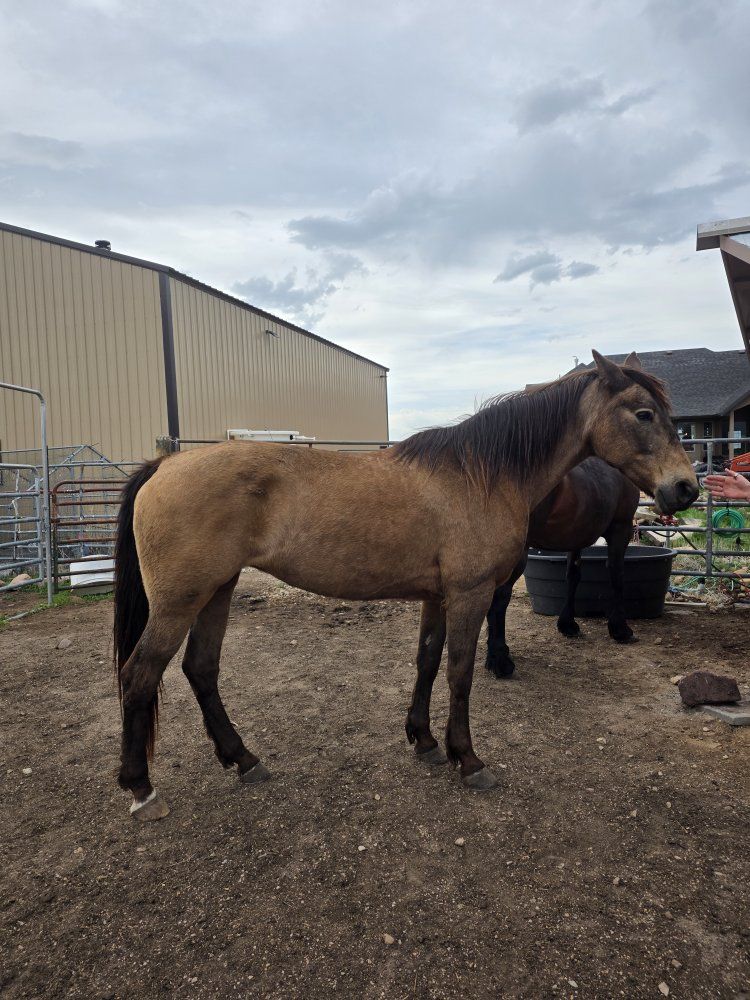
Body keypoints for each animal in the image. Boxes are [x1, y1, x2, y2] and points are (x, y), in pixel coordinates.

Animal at [484, 457, 640, 679]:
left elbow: (573, 576)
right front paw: (620, 629)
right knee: (499, 597)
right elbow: (617, 576)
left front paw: (567, 624)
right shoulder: (621, 528)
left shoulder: (577, 537)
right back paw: (500, 661)